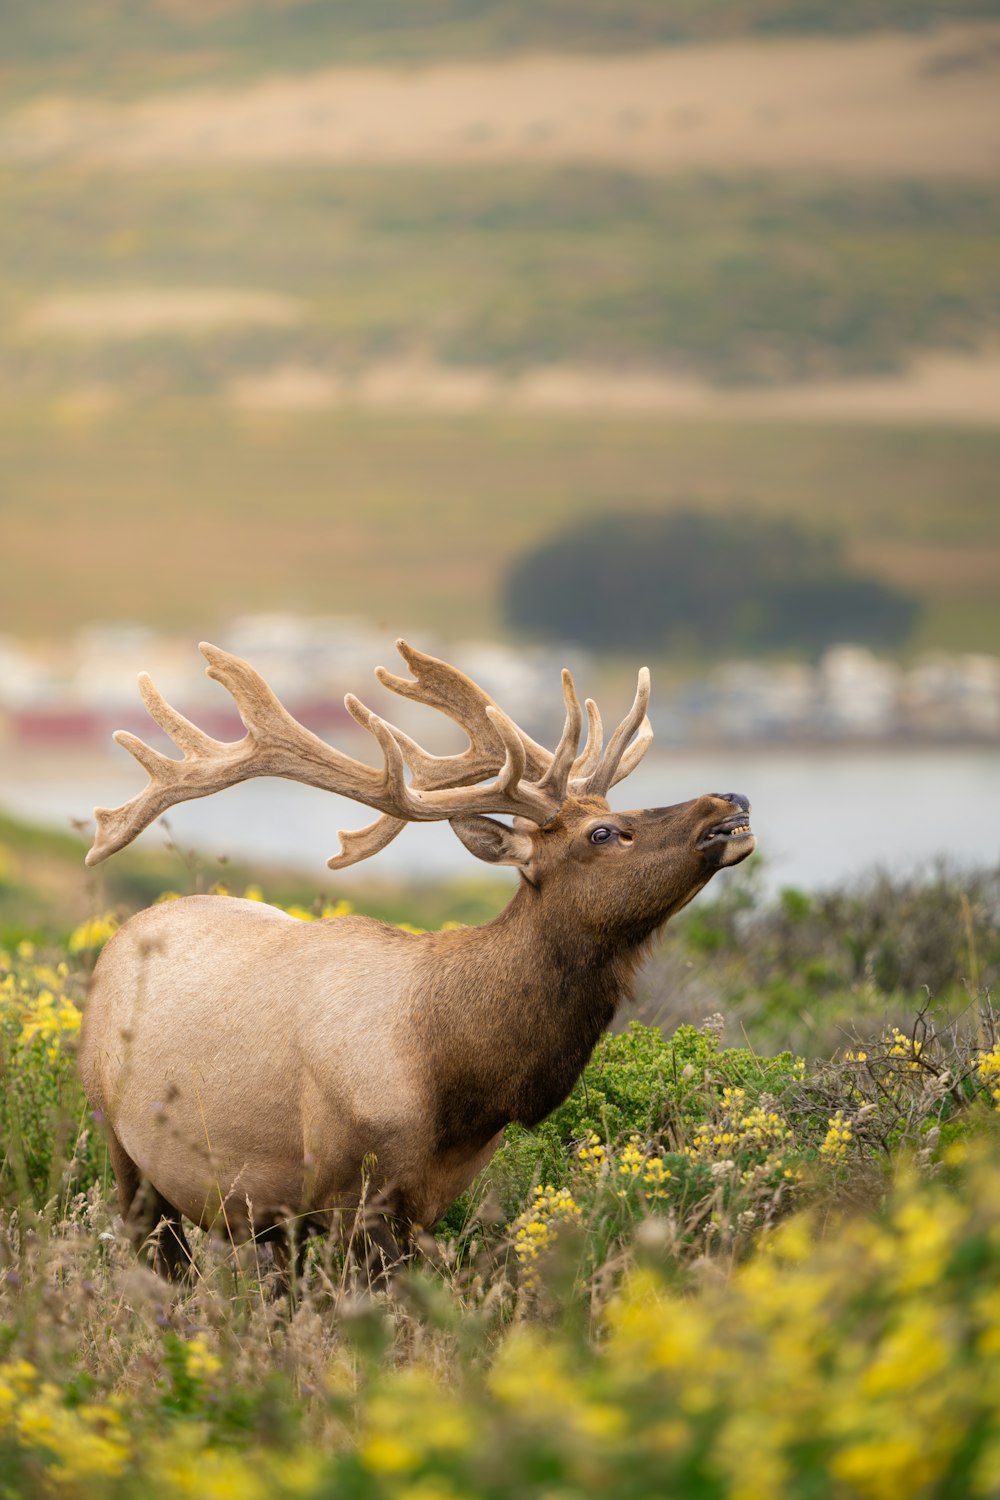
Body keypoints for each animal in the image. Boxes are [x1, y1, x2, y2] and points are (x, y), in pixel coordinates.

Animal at [78, 642, 755, 1278]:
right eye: (604, 833)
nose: (729, 800)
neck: (456, 1075)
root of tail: (120, 937)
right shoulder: (351, 1193)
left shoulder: (426, 1198)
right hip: (122, 1148)